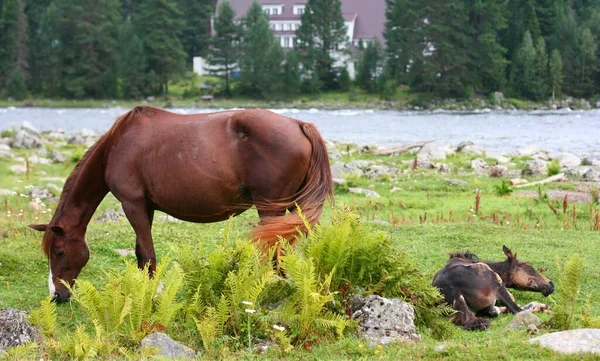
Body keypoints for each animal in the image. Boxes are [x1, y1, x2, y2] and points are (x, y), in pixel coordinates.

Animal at [29, 106, 332, 300]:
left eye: (59, 252)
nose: (56, 296)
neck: (118, 145)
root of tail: (299, 125)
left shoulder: (132, 204)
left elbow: (147, 254)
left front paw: (153, 293)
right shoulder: (146, 207)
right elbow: (140, 252)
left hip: (271, 209)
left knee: (274, 252)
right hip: (289, 209)